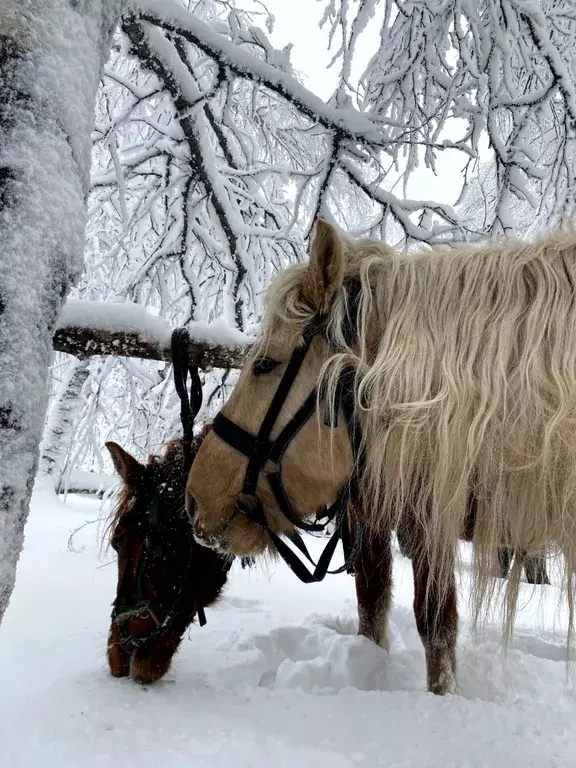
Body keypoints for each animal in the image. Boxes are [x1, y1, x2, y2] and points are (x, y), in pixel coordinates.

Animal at [188, 219, 572, 692]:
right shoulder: (378, 512)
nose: (194, 499)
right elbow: (375, 608)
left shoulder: (426, 517)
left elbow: (435, 625)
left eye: (264, 365)